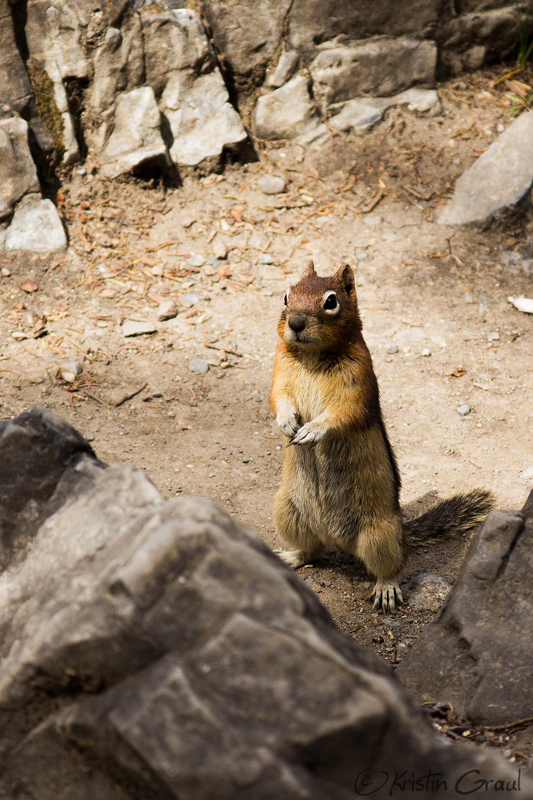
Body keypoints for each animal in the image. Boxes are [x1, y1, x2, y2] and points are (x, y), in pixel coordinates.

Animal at [272, 260, 492, 608]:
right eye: (285, 296)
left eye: (331, 301)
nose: (294, 323)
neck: (312, 355)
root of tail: (337, 539)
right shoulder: (279, 370)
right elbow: (278, 398)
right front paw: (285, 422)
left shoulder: (357, 381)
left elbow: (342, 414)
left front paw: (311, 430)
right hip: (286, 511)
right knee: (312, 551)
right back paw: (291, 556)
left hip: (380, 534)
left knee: (390, 565)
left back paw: (386, 589)